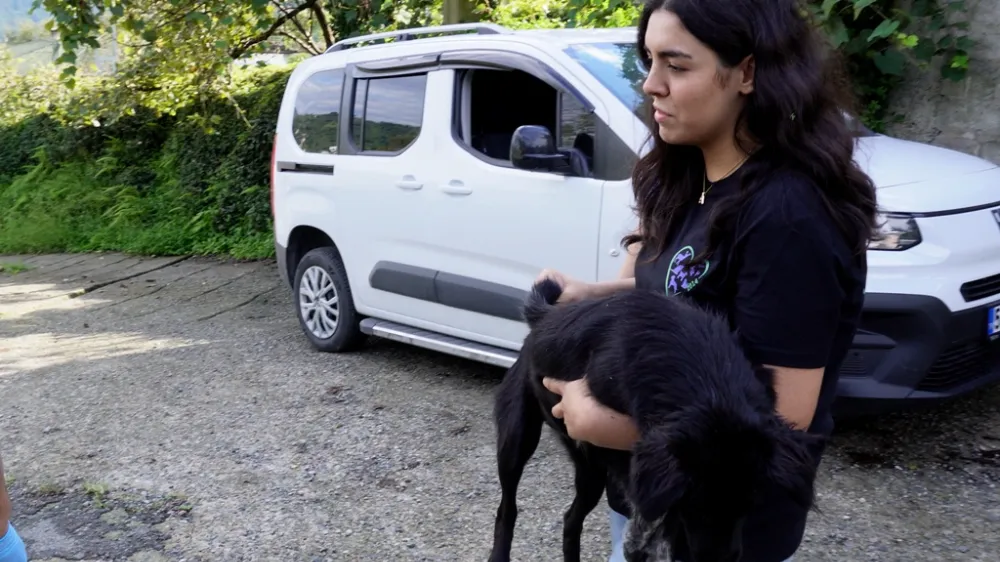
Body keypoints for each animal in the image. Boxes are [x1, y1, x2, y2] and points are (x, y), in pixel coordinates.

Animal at [486, 278, 820, 556]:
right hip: (517, 440)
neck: (710, 381)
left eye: (751, 503)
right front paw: (647, 538)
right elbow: (647, 502)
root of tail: (543, 319)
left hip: (590, 472)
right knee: (507, 509)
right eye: (694, 506)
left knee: (570, 520)